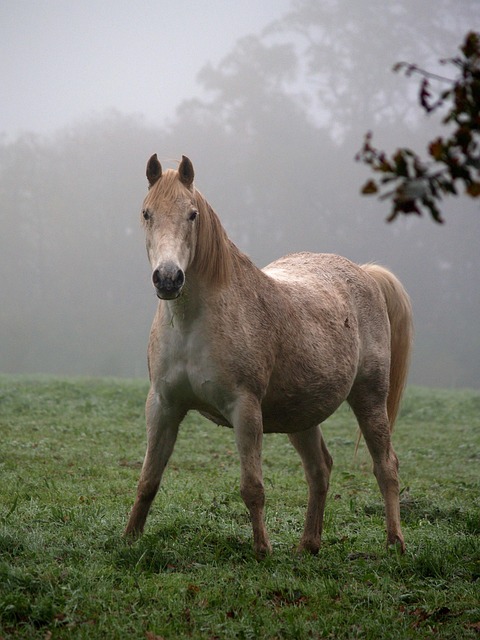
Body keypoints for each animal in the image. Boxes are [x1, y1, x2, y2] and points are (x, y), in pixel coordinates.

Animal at [124, 154, 413, 558]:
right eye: (147, 213)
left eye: (192, 214)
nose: (168, 278)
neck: (193, 322)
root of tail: (365, 274)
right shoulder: (163, 406)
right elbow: (148, 478)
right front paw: (129, 539)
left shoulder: (244, 408)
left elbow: (252, 487)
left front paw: (262, 550)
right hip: (302, 415)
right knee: (320, 469)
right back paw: (309, 544)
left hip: (370, 398)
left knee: (386, 465)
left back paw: (395, 542)